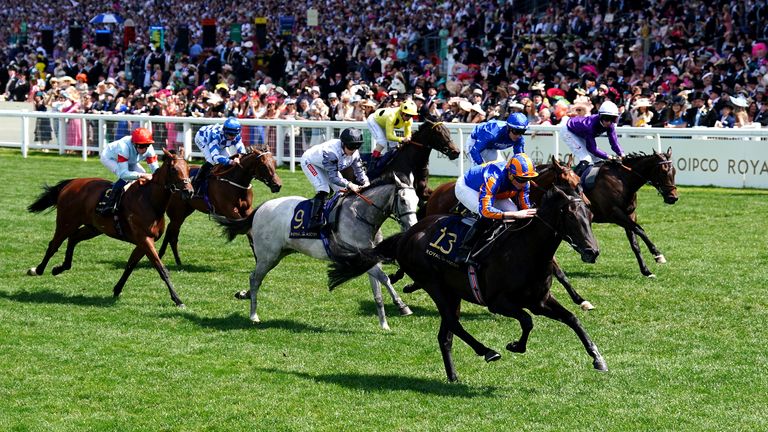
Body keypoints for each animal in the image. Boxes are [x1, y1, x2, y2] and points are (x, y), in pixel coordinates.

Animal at [27, 148, 195, 308]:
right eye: (174, 169)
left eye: (188, 168)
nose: (189, 191)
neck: (150, 201)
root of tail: (72, 183)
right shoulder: (144, 239)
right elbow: (161, 269)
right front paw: (178, 300)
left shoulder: (143, 242)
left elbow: (130, 265)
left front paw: (117, 289)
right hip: (66, 222)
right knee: (53, 245)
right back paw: (37, 270)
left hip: (93, 228)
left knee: (73, 238)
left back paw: (60, 268)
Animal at [330, 183, 608, 382]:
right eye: (570, 216)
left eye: (590, 214)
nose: (592, 251)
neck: (527, 250)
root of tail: (408, 235)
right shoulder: (498, 302)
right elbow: (527, 321)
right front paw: (515, 345)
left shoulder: (539, 300)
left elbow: (572, 319)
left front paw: (597, 358)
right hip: (434, 285)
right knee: (453, 323)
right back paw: (487, 351)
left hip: (451, 292)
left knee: (445, 335)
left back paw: (453, 376)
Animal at [584, 148, 676, 276]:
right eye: (663, 172)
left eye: (674, 171)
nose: (673, 198)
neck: (622, 181)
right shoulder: (614, 214)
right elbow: (640, 230)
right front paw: (657, 254)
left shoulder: (630, 214)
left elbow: (635, 243)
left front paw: (646, 271)